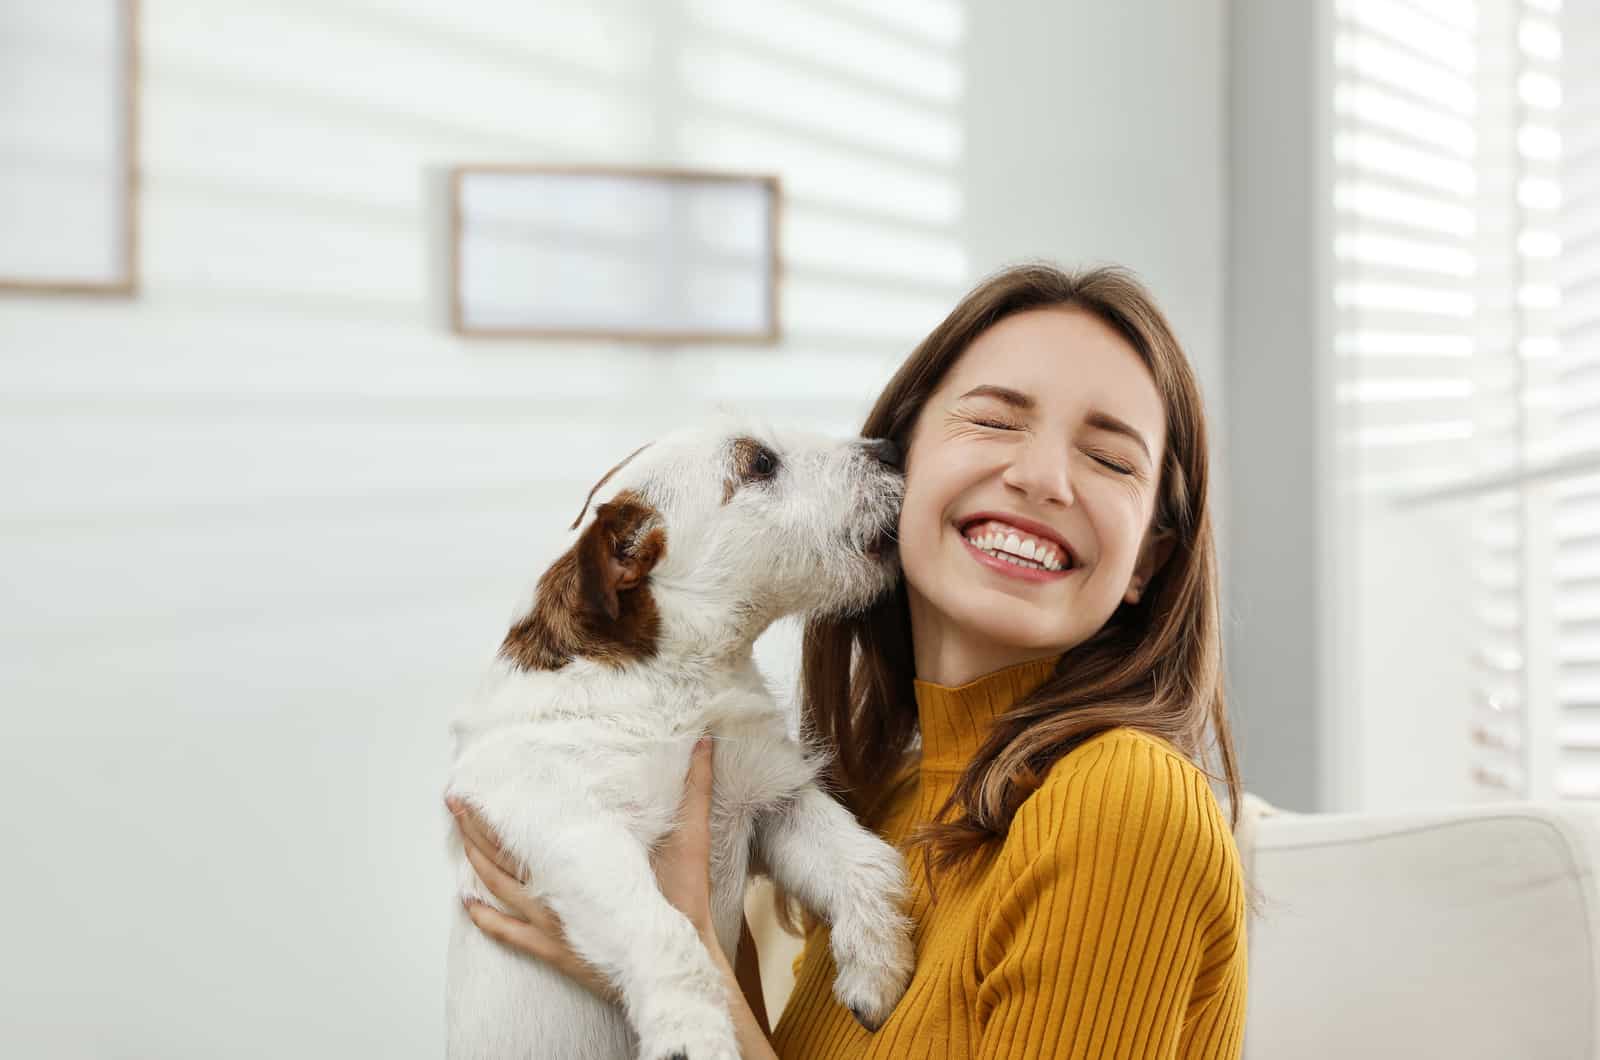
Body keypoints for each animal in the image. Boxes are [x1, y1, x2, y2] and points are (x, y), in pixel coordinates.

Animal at [444, 419, 921, 1060]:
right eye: (760, 463)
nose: (891, 449)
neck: (679, 685)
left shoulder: (772, 802)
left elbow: (866, 863)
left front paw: (876, 968)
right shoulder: (571, 825)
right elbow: (665, 933)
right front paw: (692, 1033)